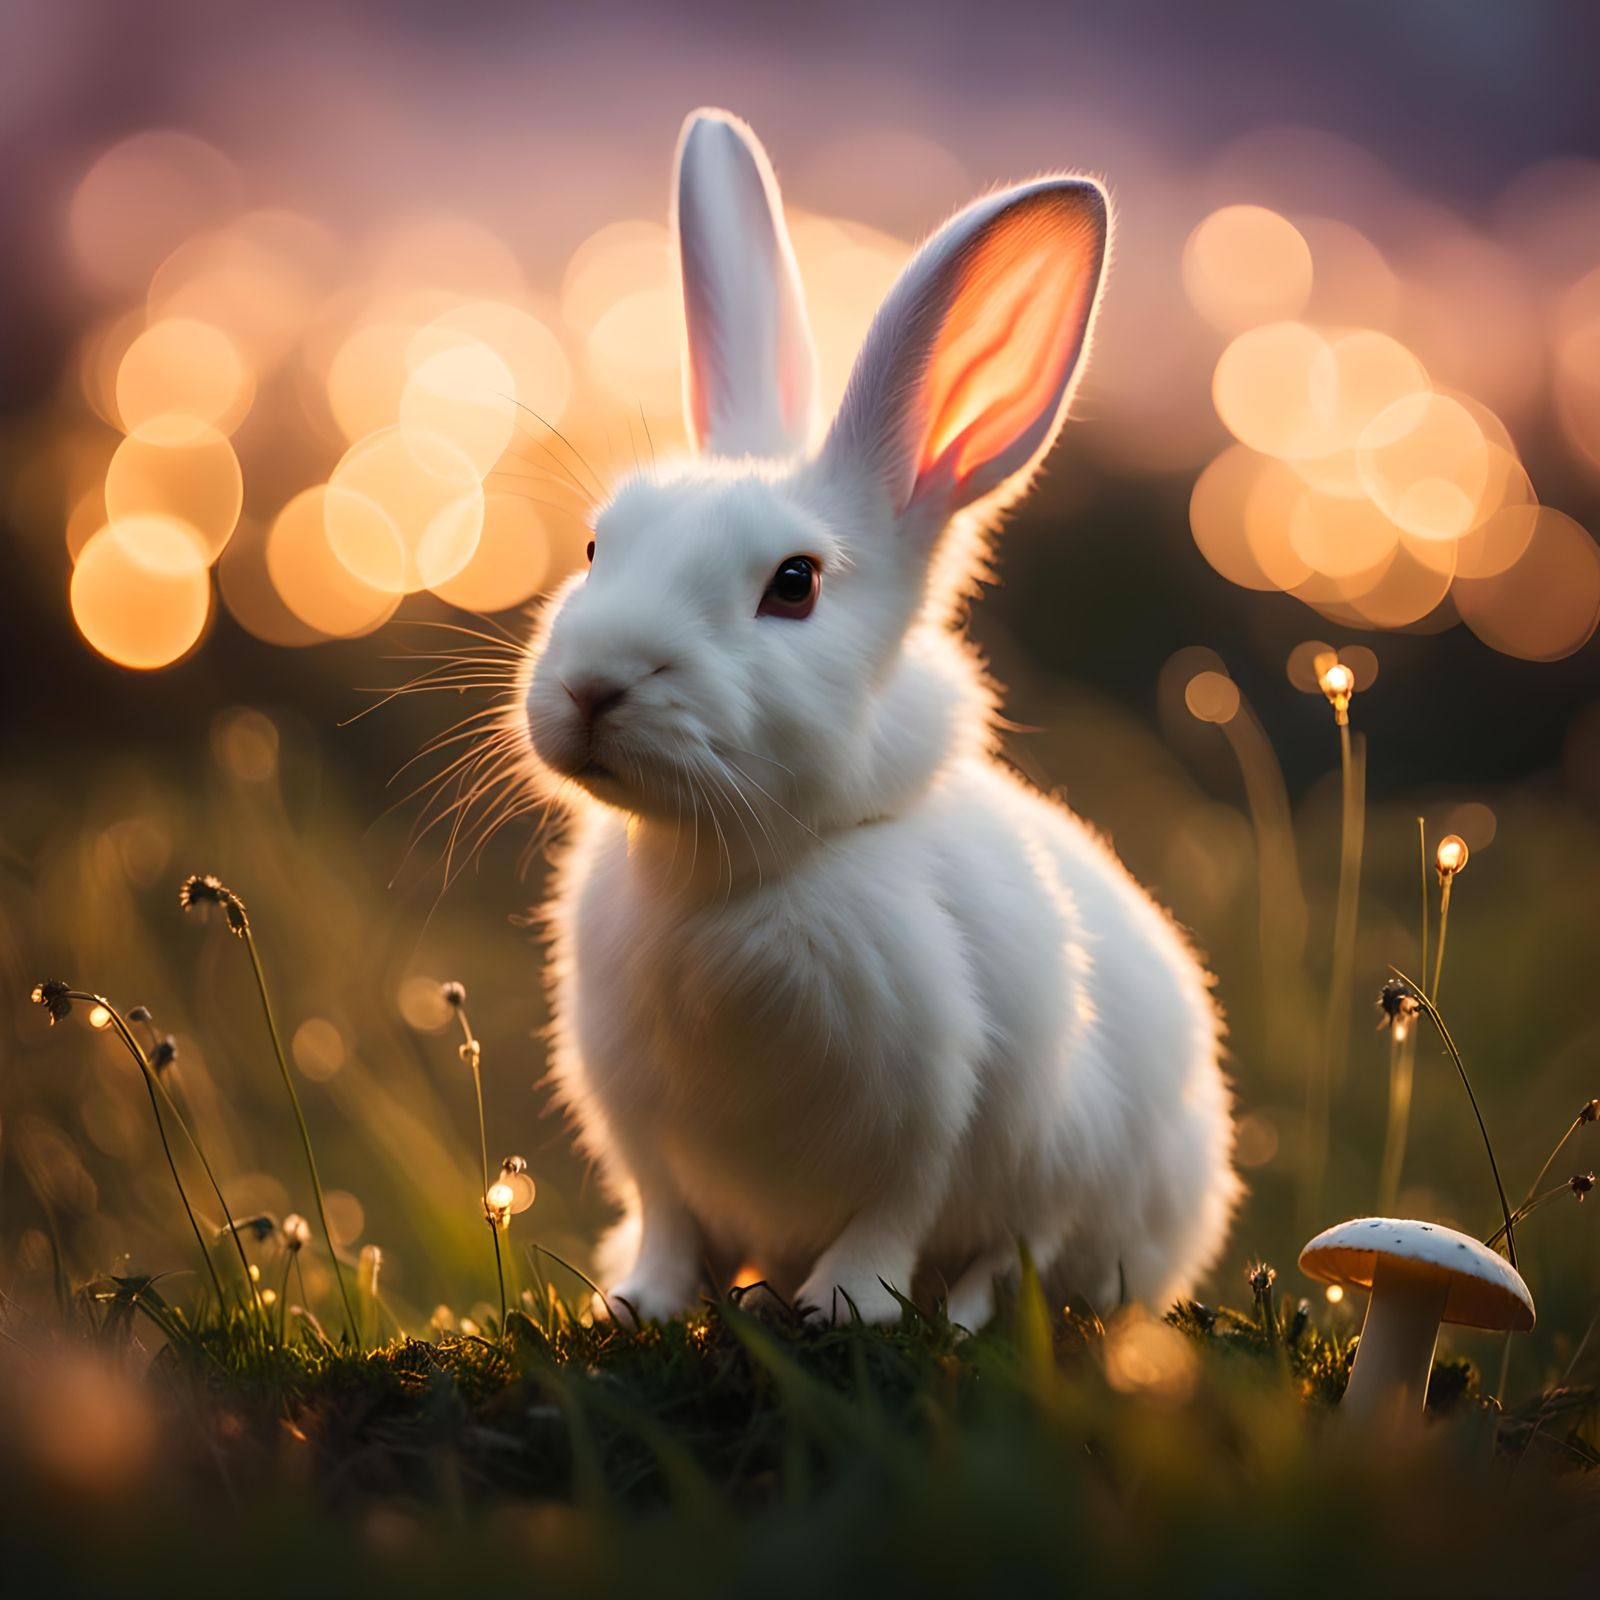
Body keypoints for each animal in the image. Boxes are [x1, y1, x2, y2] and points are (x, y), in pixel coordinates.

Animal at [519, 108, 1238, 1328]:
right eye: (597, 544)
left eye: (794, 584)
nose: (593, 685)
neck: (731, 870)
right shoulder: (650, 1147)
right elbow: (670, 1225)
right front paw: (639, 1304)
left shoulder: (941, 1124)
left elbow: (892, 1224)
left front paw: (839, 1309)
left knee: (1026, 1262)